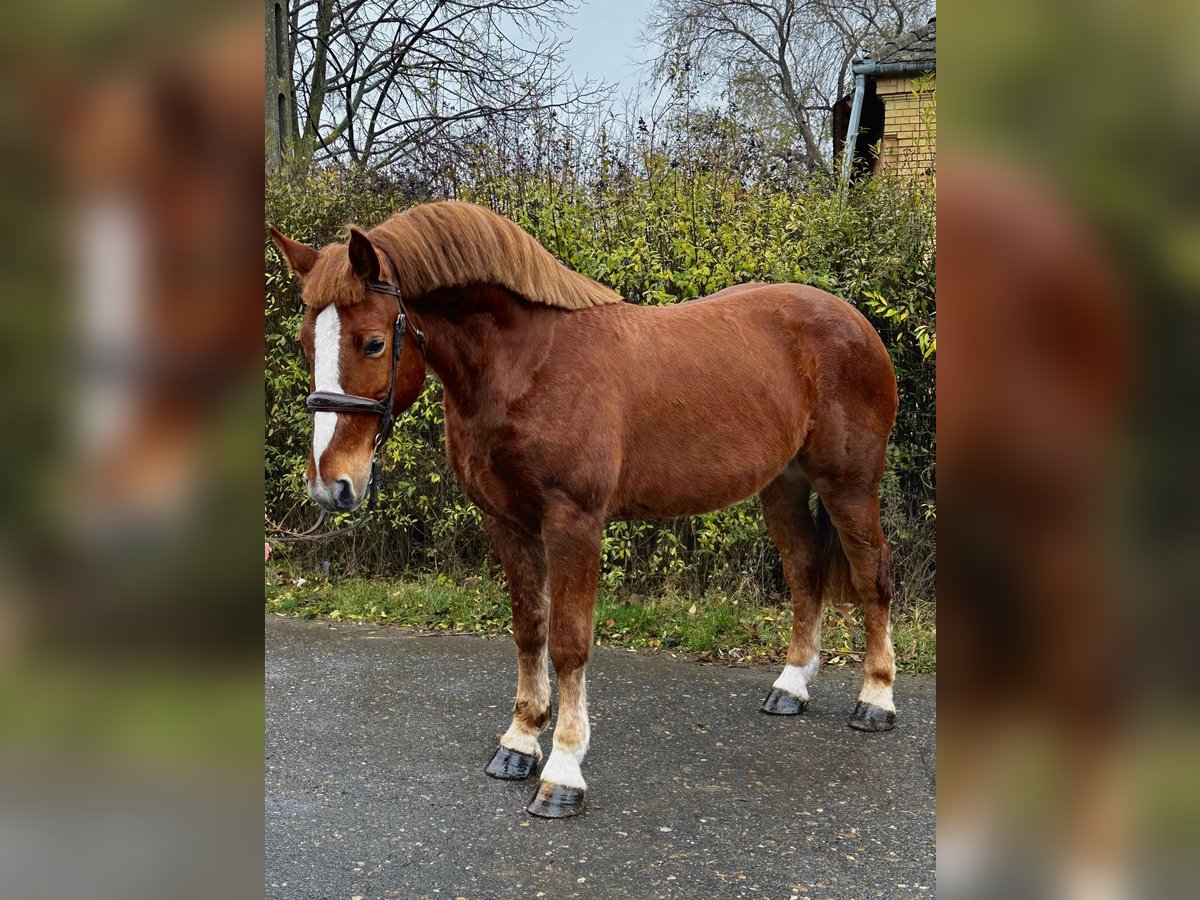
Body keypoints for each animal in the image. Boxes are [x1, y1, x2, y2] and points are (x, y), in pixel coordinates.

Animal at [269, 201, 899, 818]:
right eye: (305, 342)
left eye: (373, 342)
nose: (330, 485)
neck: (528, 365)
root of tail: (854, 321)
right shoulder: (506, 522)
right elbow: (529, 630)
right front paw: (520, 742)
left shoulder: (574, 523)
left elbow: (569, 643)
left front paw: (563, 771)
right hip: (784, 486)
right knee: (805, 571)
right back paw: (791, 687)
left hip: (849, 486)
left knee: (873, 575)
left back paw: (876, 698)